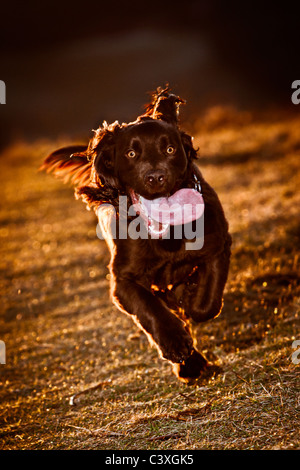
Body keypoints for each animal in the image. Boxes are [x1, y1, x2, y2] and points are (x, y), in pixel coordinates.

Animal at [40, 87, 232, 382]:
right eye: (131, 154)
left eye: (170, 149)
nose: (155, 177)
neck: (166, 237)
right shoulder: (123, 281)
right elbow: (150, 310)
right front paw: (175, 342)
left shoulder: (217, 246)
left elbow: (206, 303)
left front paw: (189, 296)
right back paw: (190, 363)